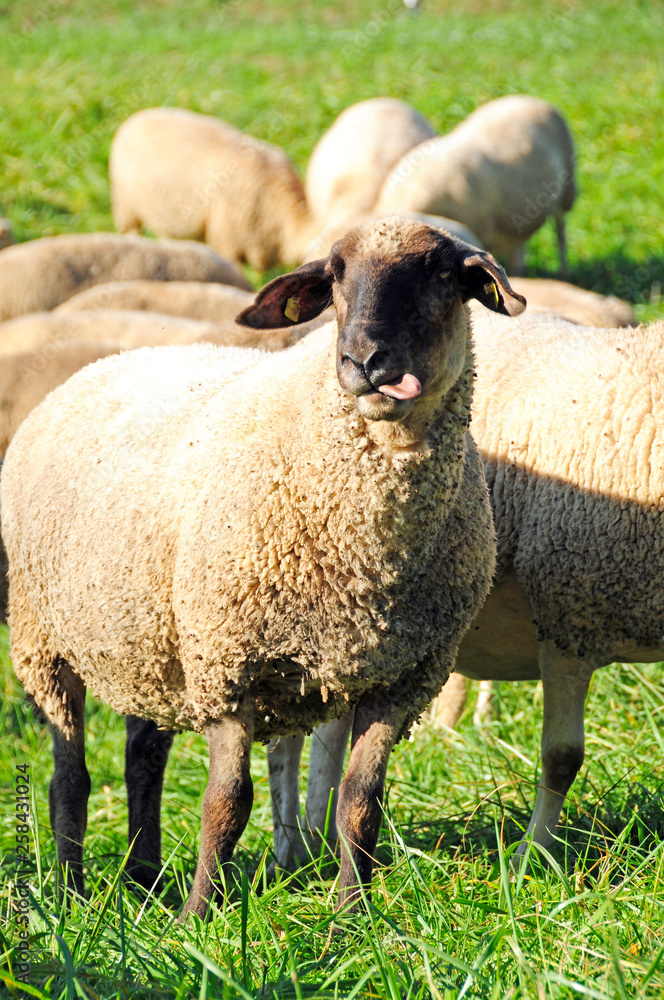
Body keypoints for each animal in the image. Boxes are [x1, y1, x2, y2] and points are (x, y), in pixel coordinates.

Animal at [267, 307, 664, 870]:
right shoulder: (567, 614)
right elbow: (561, 758)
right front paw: (529, 857)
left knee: (325, 732)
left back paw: (315, 840)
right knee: (287, 742)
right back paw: (292, 851)